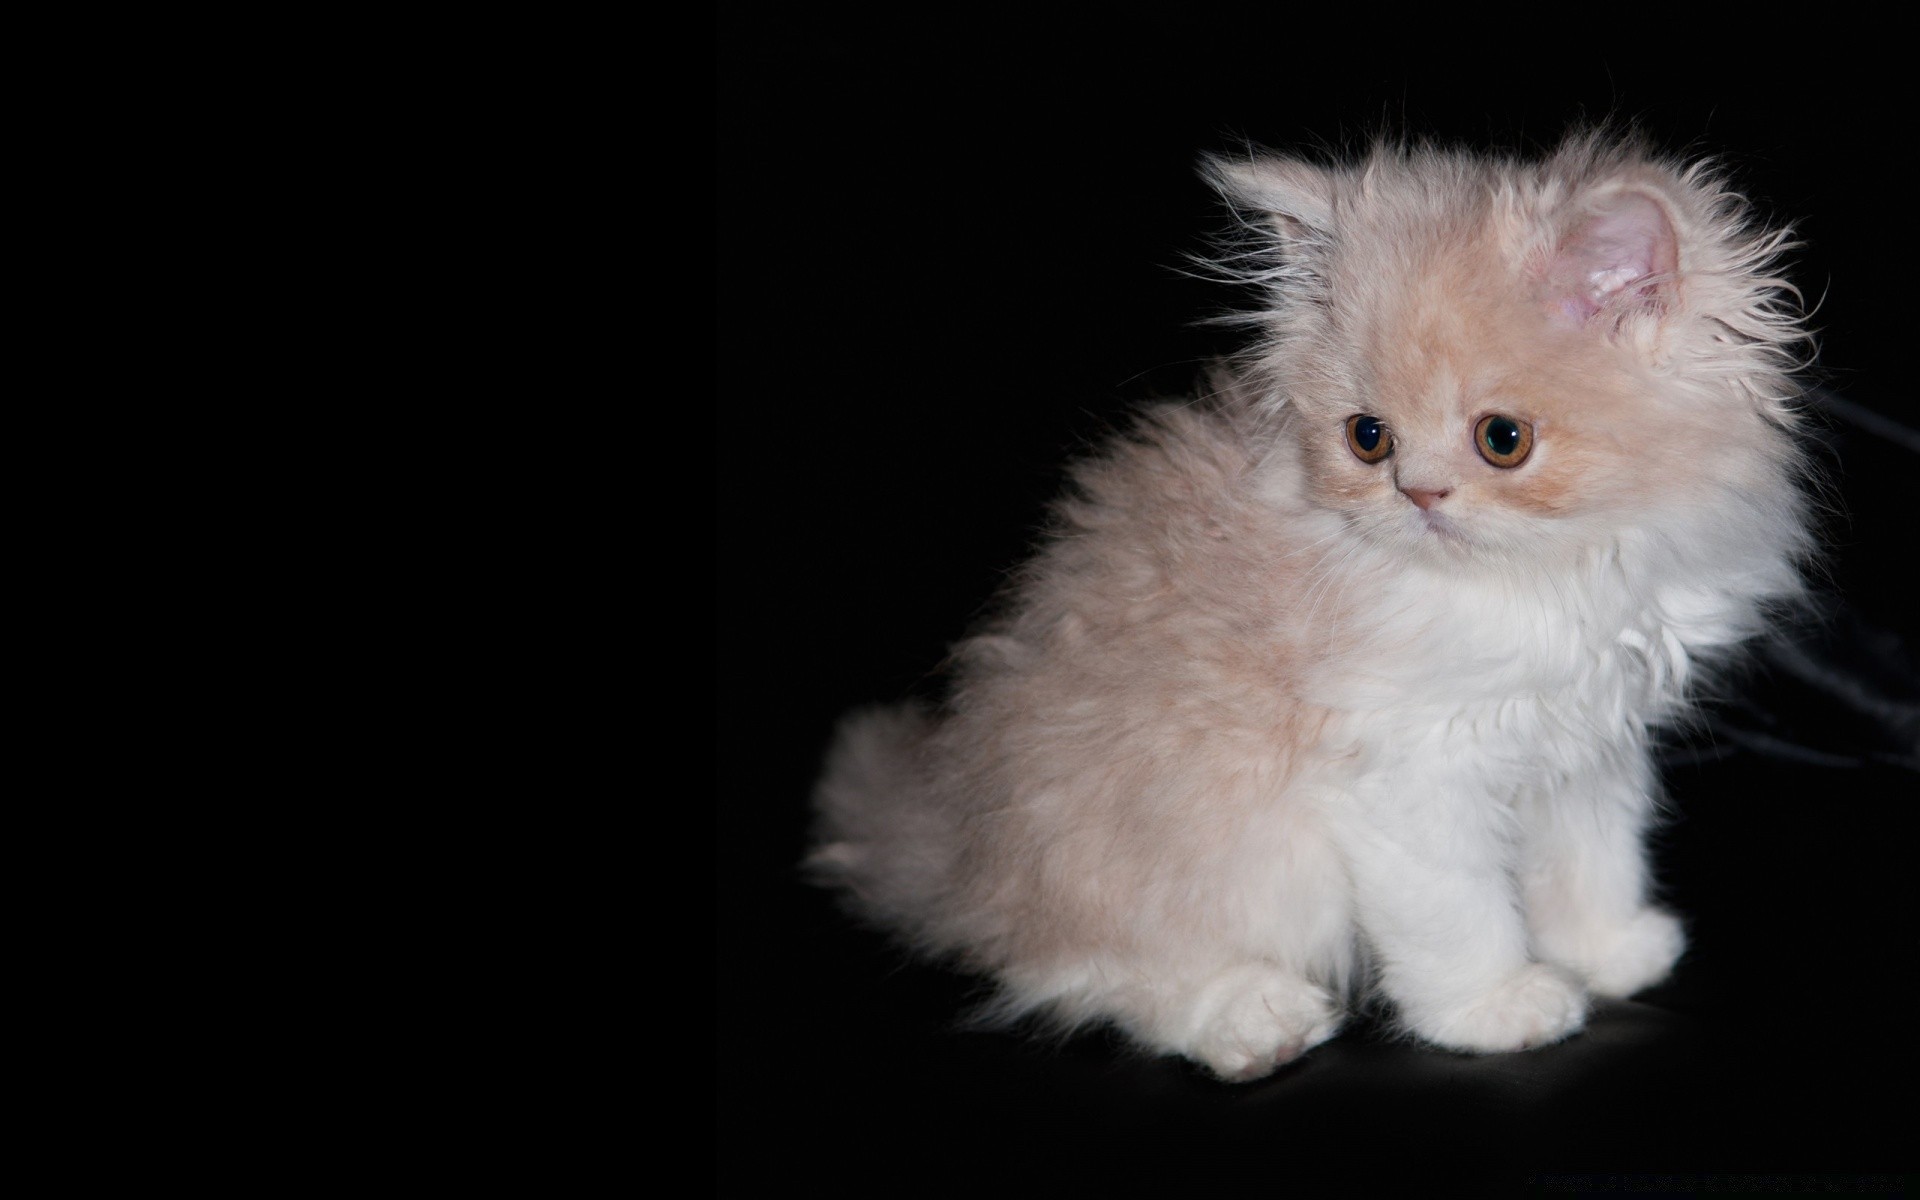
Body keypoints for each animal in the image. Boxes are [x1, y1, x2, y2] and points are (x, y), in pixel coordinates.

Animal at [806, 135, 1812, 1082]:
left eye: (1503, 440)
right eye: (1369, 439)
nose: (1419, 494)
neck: (1543, 581)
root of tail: (957, 839)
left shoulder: (1585, 749)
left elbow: (1591, 862)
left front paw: (1608, 952)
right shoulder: (1411, 770)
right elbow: (1460, 913)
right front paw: (1499, 1008)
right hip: (1185, 861)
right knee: (1086, 970)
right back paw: (1253, 1021)